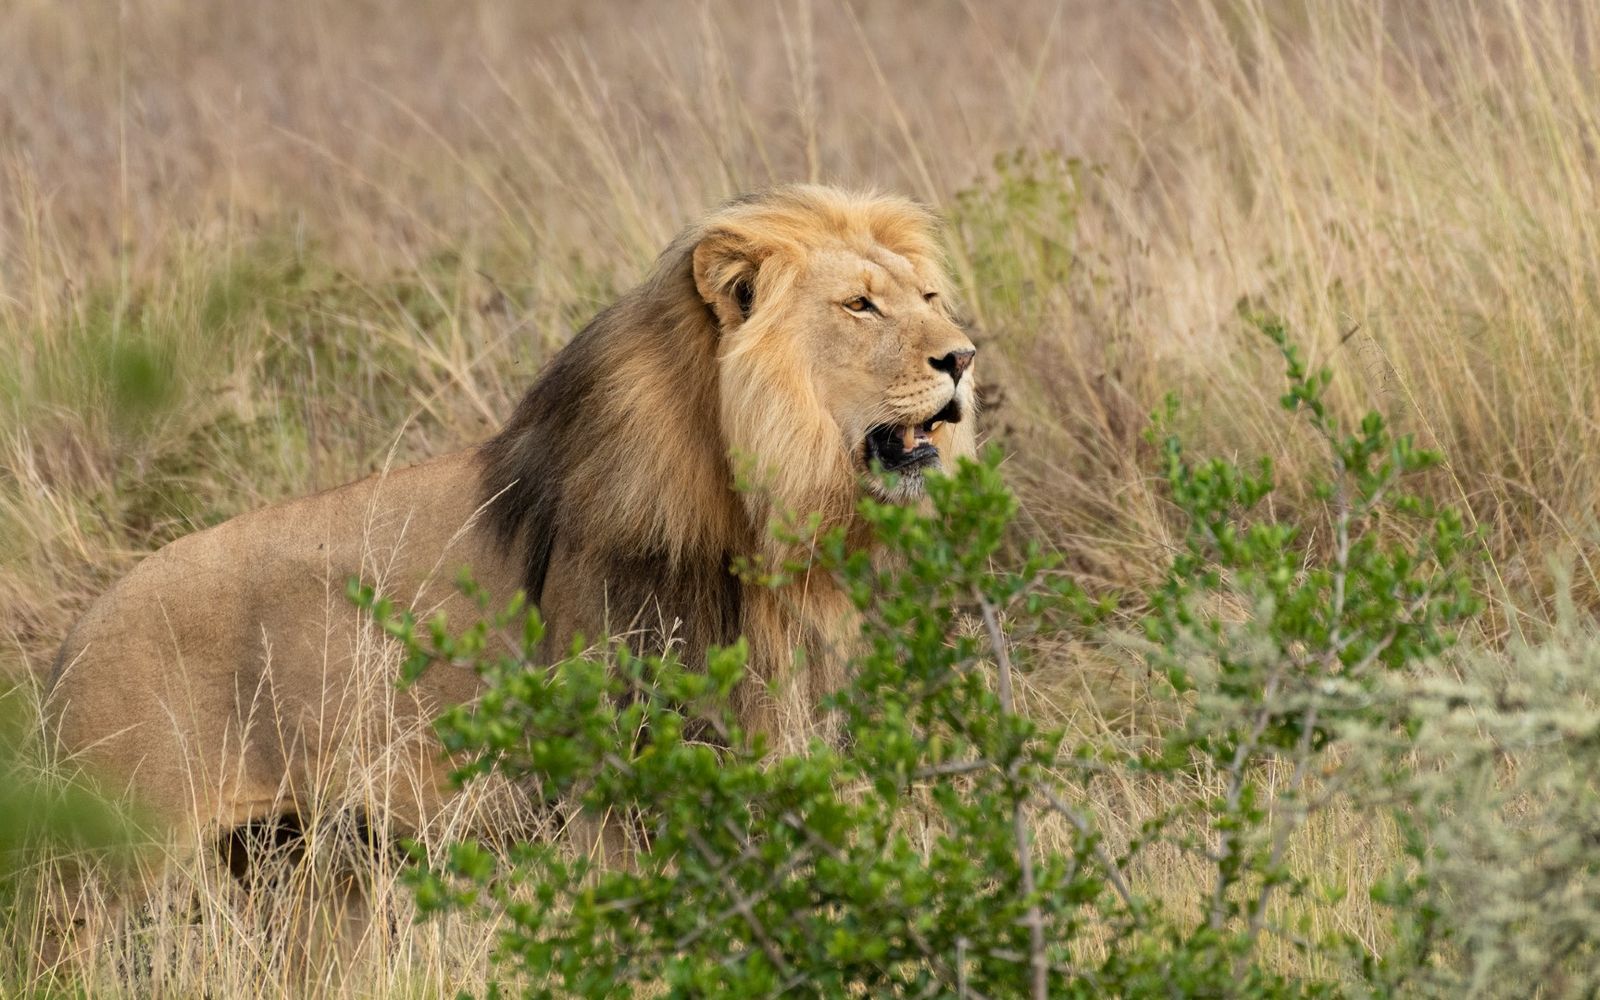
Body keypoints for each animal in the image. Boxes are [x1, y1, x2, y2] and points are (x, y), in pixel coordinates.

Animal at [45, 184, 978, 880]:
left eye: (929, 298)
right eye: (860, 306)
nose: (963, 357)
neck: (765, 511)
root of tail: (67, 650)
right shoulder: (614, 769)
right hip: (108, 875)